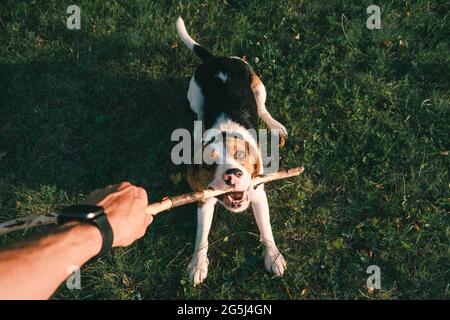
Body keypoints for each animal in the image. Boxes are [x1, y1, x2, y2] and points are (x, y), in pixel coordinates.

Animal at [176, 17, 288, 284]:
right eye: (209, 164)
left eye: (241, 156)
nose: (232, 175)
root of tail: (216, 59)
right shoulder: (204, 199)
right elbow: (201, 236)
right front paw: (198, 264)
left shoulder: (257, 193)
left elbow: (266, 229)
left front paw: (273, 256)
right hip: (194, 95)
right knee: (198, 114)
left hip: (258, 85)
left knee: (263, 108)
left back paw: (275, 125)